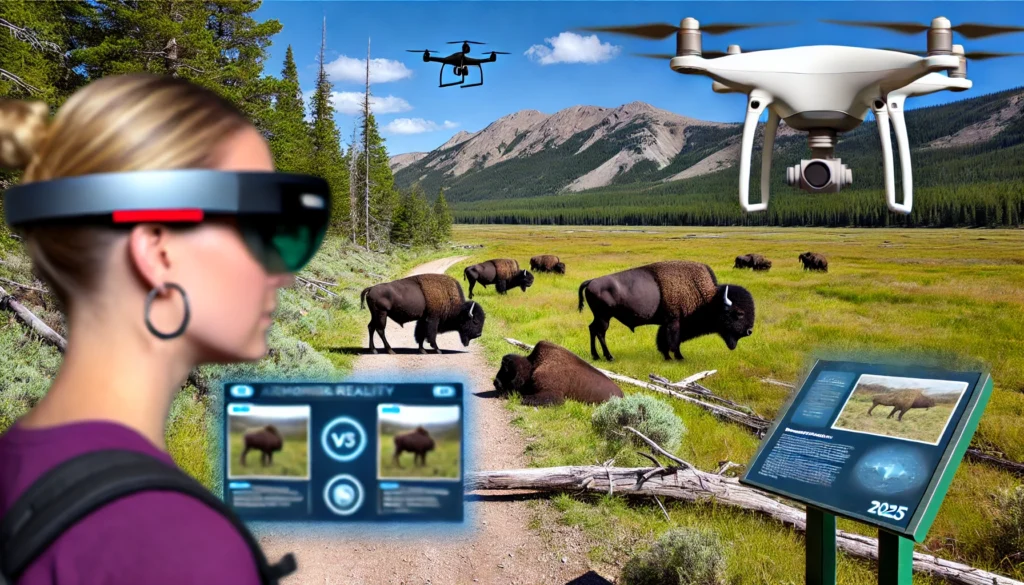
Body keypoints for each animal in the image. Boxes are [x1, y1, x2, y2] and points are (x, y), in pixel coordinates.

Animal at [581, 261, 757, 362]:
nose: (749, 331)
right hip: (604, 317)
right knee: (600, 332)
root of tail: (591, 281)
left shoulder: (667, 323)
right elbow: (674, 341)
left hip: (600, 317)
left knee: (592, 329)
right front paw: (678, 357)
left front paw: (666, 356)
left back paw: (596, 356)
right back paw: (609, 357)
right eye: (739, 313)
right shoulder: (675, 322)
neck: (707, 297)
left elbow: (664, 339)